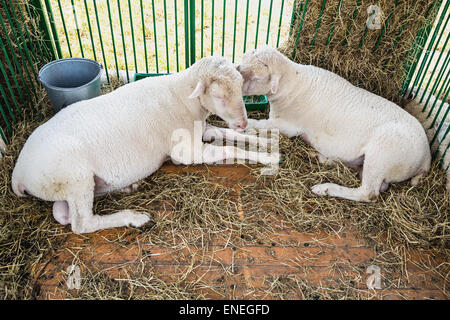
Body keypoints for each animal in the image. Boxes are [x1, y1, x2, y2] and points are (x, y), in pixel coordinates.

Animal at [11, 56, 278, 234]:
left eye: (241, 89)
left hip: (65, 186)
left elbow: (229, 135)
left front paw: (264, 141)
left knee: (62, 213)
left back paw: (127, 188)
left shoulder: (203, 130)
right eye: (219, 96)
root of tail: (18, 174)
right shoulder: (186, 151)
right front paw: (270, 158)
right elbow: (230, 149)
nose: (243, 122)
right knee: (81, 223)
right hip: (73, 177)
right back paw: (135, 218)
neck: (183, 98)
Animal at [237, 45, 430, 200]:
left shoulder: (287, 125)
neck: (292, 84)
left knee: (369, 192)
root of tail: (427, 156)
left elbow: (259, 124)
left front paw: (245, 127)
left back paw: (325, 188)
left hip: (383, 155)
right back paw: (317, 157)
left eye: (256, 77)